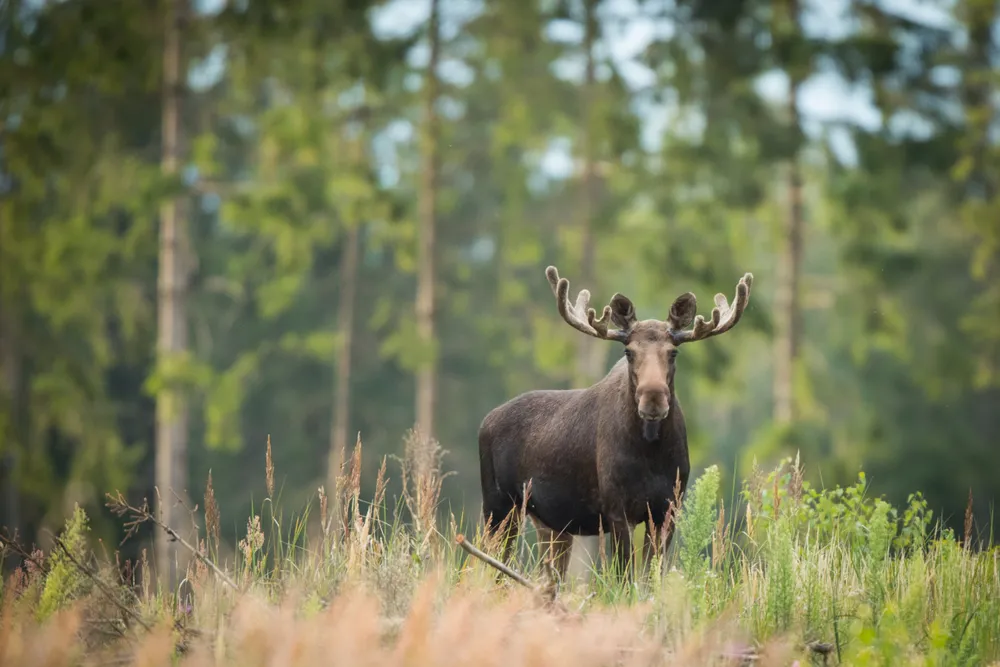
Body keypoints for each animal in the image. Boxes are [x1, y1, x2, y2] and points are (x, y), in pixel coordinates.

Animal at [478, 265, 753, 584]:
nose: (653, 399)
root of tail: (485, 421)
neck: (650, 453)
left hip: (551, 524)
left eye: (673, 352)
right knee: (490, 567)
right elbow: (624, 576)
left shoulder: (668, 508)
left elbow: (651, 576)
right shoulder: (616, 508)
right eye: (628, 352)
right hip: (498, 506)